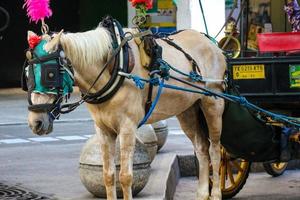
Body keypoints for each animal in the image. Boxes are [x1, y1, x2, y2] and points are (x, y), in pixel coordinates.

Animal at [25, 18, 225, 199]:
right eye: (27, 75)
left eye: (50, 74)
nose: (36, 122)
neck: (115, 65)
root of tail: (211, 43)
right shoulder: (103, 129)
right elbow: (108, 175)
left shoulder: (127, 128)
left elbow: (126, 177)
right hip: (188, 111)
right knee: (201, 149)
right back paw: (202, 193)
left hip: (213, 106)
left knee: (215, 150)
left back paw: (215, 193)